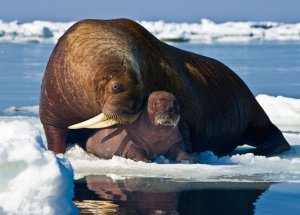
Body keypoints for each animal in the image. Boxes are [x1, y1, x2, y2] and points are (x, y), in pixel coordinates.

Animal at [40, 18, 290, 156]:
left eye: (143, 89)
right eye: (116, 86)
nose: (133, 109)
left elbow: (185, 127)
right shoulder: (53, 106)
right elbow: (54, 134)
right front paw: (56, 154)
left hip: (252, 108)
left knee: (270, 130)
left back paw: (268, 149)